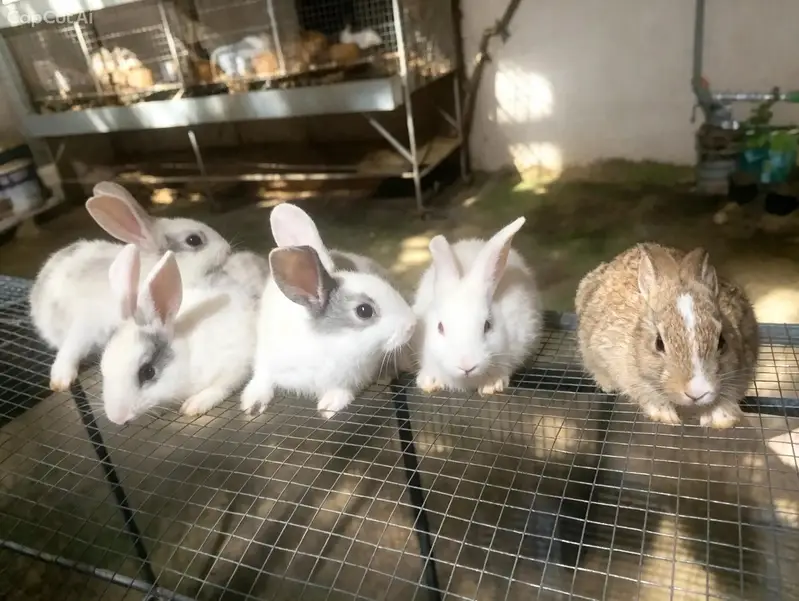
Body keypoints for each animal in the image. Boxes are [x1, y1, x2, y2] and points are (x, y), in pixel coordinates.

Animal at [100, 245, 257, 425]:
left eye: (148, 372)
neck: (188, 353)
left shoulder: (234, 363)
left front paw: (194, 405)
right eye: (103, 366)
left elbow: (220, 387)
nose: (117, 418)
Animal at [239, 243, 417, 419]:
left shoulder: (350, 378)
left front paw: (328, 407)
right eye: (364, 310)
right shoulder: (266, 360)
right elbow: (262, 378)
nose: (411, 326)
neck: (329, 344)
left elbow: (341, 391)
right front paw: (252, 404)